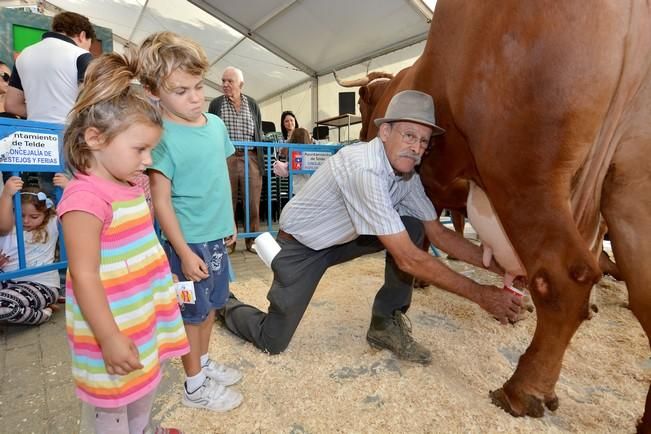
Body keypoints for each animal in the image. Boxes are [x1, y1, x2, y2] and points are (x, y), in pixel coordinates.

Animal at [364, 0, 648, 430]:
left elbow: (422, 238)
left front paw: (416, 281)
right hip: (630, 186)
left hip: (523, 164)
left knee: (564, 278)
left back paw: (523, 390)